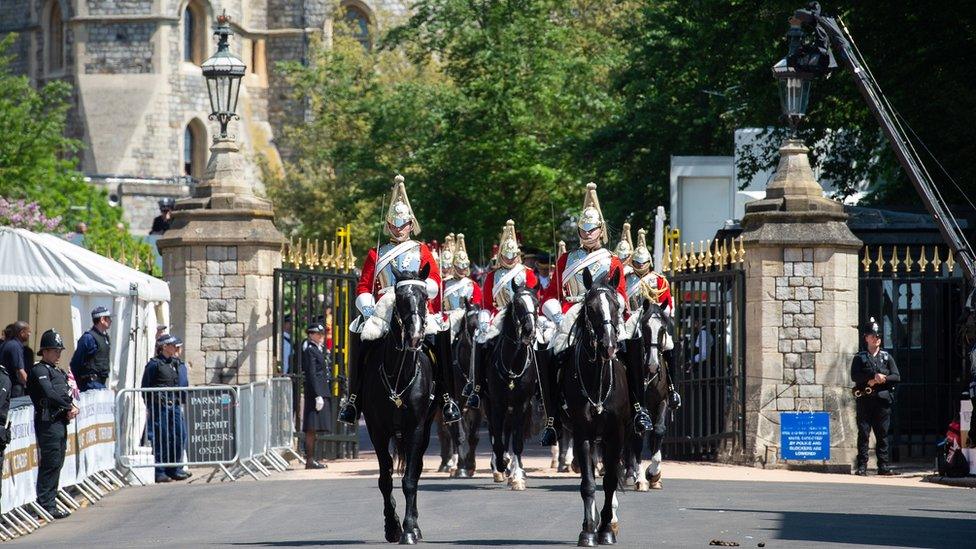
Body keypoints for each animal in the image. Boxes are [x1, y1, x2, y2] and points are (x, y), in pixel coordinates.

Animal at [362, 266, 438, 544]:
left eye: (425, 297)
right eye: (401, 298)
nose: (415, 336)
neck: (399, 375)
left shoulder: (415, 427)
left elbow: (409, 480)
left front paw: (409, 529)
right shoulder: (376, 430)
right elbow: (385, 479)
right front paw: (392, 526)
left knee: (416, 470)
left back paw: (415, 526)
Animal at [486, 282, 540, 488]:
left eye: (536, 302)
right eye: (517, 304)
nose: (529, 330)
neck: (513, 363)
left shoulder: (521, 404)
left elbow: (516, 440)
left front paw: (517, 476)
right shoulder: (496, 404)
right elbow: (497, 440)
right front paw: (501, 464)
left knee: (508, 431)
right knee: (495, 433)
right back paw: (500, 466)